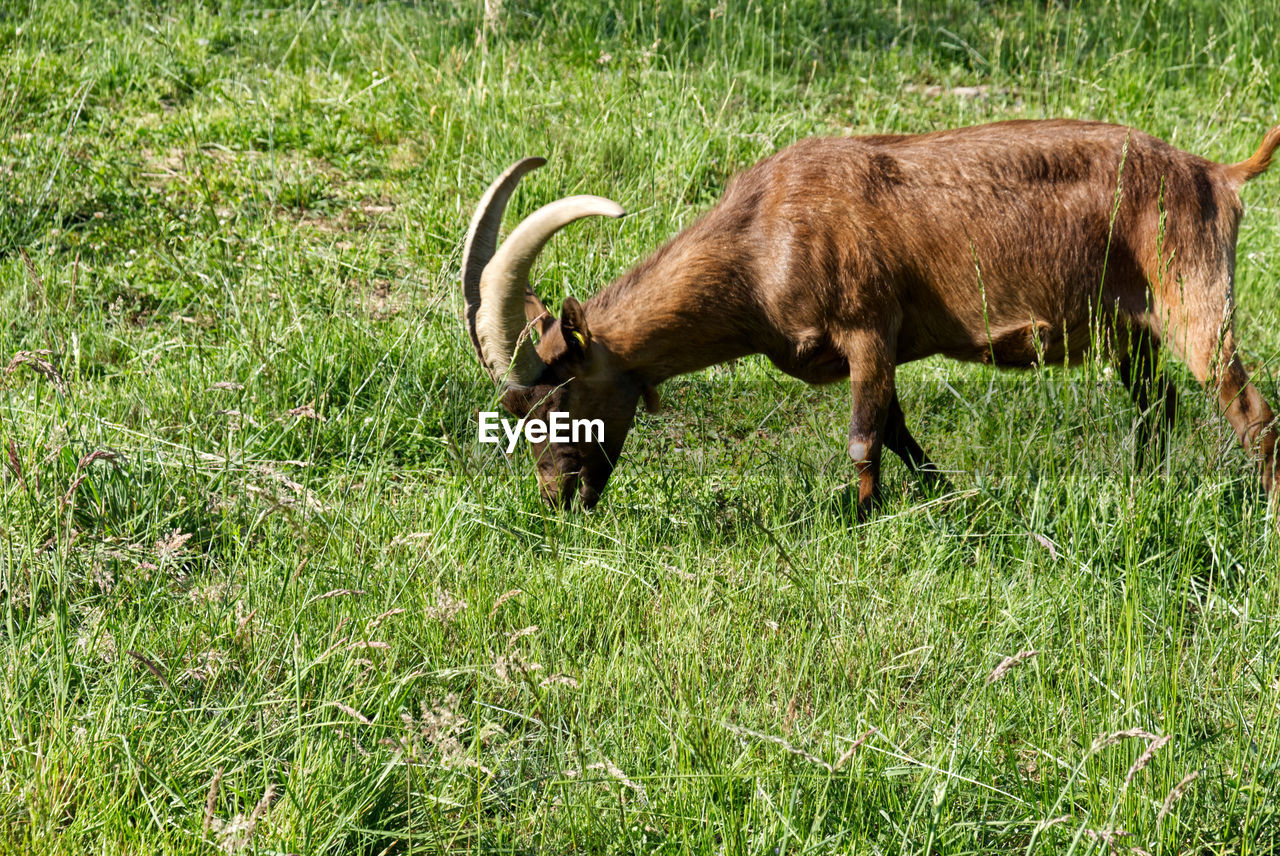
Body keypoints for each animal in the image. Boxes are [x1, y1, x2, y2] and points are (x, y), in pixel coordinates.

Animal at [460, 119, 1280, 514]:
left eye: (560, 398)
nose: (560, 499)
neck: (759, 240)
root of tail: (1216, 174)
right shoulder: (878, 349)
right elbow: (896, 429)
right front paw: (945, 497)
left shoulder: (866, 328)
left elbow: (863, 437)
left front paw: (860, 521)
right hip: (1127, 326)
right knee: (1158, 403)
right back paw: (1144, 487)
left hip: (1195, 299)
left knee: (1249, 410)